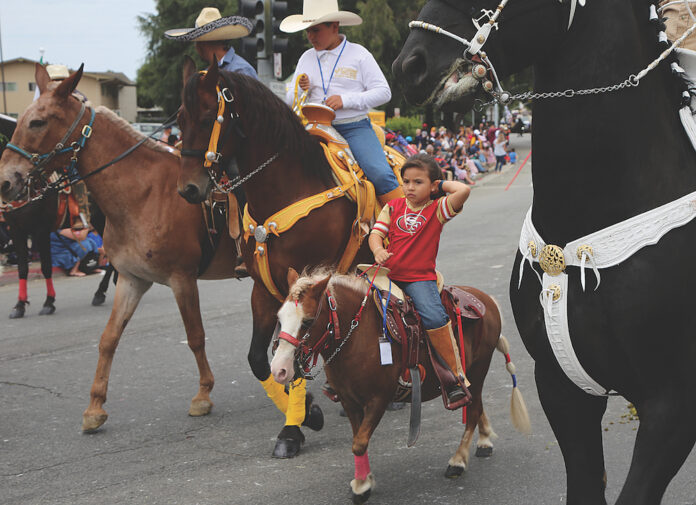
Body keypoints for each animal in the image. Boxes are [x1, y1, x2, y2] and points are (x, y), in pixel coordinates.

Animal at [0, 64, 250, 434]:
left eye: (38, 122)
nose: (5, 181)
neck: (144, 193)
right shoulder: (132, 280)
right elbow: (108, 338)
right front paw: (95, 407)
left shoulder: (182, 279)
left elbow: (195, 336)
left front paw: (203, 394)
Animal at [177, 59, 378, 456]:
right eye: (179, 118)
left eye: (207, 117)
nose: (188, 189)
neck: (288, 191)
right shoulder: (264, 290)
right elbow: (260, 359)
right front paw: (306, 414)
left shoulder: (307, 284)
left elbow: (297, 350)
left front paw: (293, 427)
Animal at [270, 266, 532, 502]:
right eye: (279, 317)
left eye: (307, 321)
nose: (279, 370)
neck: (358, 337)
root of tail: (487, 300)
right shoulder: (349, 401)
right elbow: (358, 440)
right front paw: (364, 479)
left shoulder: (378, 399)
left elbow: (359, 443)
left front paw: (362, 486)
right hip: (471, 374)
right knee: (476, 405)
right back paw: (485, 439)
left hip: (479, 369)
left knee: (474, 409)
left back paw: (458, 460)